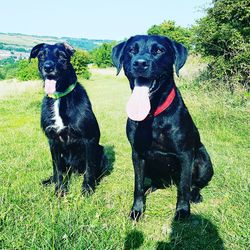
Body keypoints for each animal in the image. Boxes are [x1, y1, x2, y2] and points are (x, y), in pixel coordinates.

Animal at [29, 42, 106, 195]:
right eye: (41, 55)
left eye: (61, 56)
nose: (48, 67)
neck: (59, 97)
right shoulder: (53, 141)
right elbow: (58, 170)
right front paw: (59, 189)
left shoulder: (89, 139)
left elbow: (89, 168)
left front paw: (87, 188)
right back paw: (50, 180)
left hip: (101, 150)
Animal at [112, 35, 214, 221]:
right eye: (131, 50)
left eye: (159, 50)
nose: (140, 63)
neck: (152, 113)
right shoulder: (137, 154)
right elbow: (138, 185)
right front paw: (137, 210)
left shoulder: (185, 154)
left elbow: (184, 187)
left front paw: (182, 211)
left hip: (204, 161)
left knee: (195, 184)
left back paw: (195, 195)